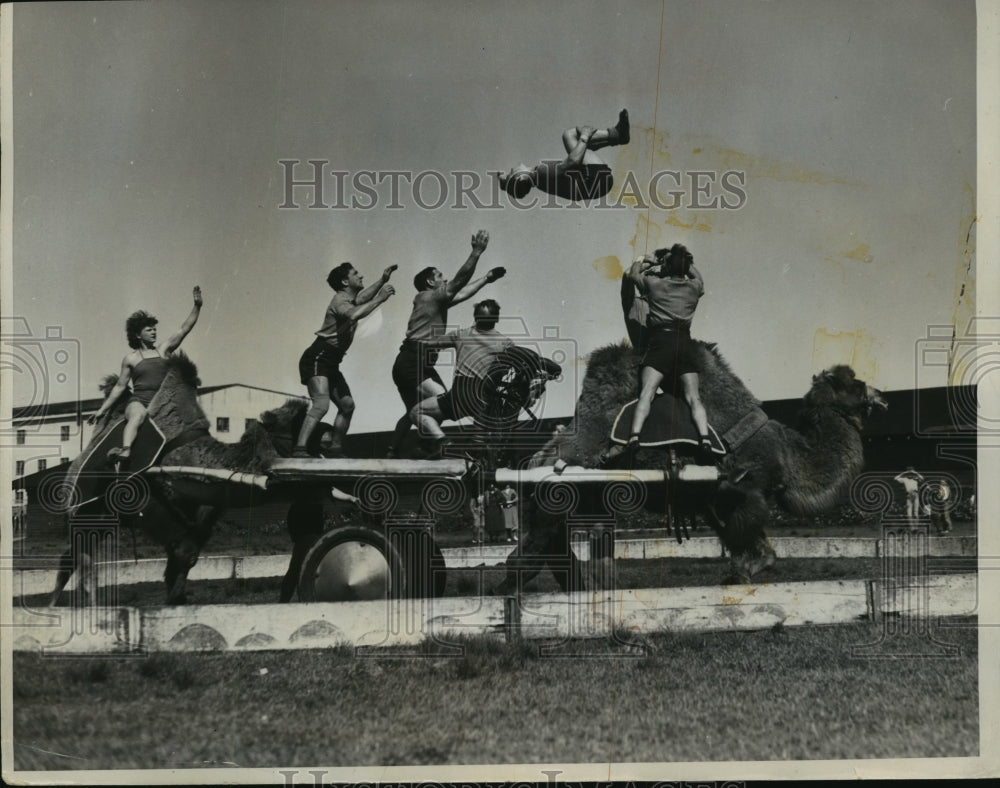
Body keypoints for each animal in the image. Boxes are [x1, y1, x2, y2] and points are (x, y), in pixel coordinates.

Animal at [496, 340, 888, 592]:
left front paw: (739, 573)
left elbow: (743, 541)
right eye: (857, 384)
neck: (789, 453)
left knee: (549, 548)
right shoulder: (747, 489)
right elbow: (755, 542)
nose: (881, 396)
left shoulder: (717, 501)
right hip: (561, 492)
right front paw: (743, 573)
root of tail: (542, 456)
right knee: (534, 550)